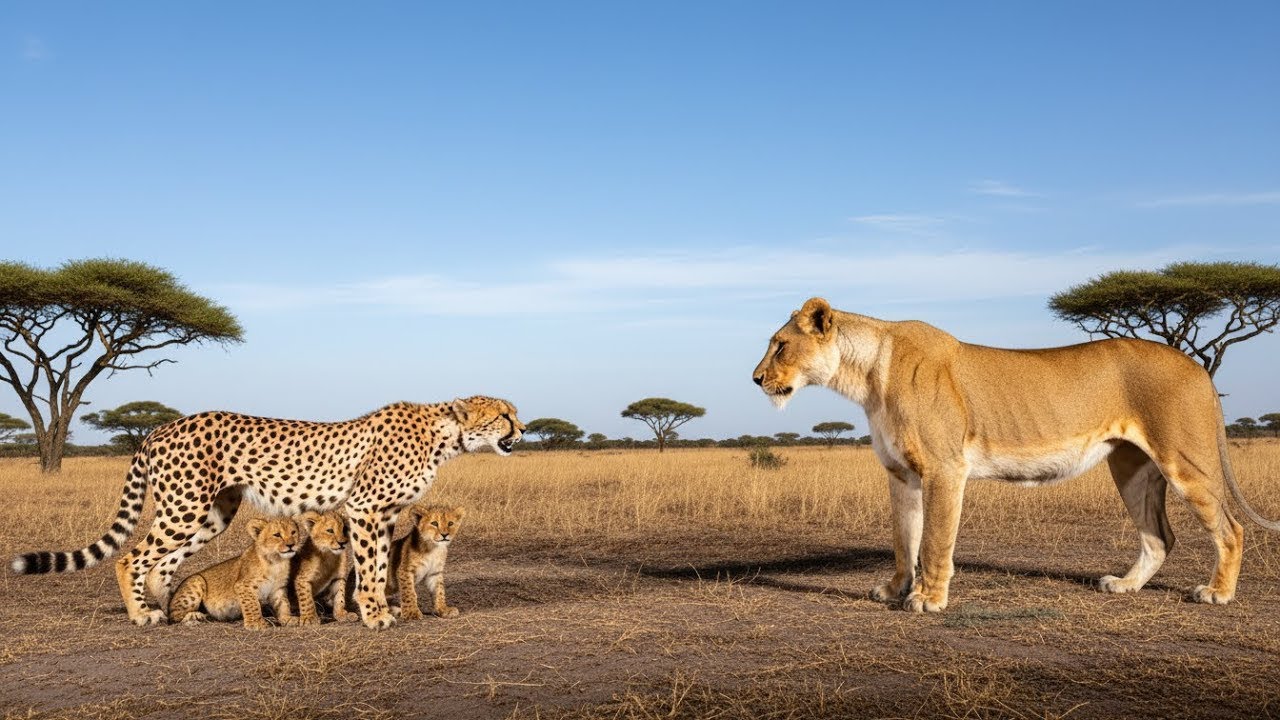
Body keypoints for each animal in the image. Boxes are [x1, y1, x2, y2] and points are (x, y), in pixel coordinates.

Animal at [753, 297, 1280, 612]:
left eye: (780, 346)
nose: (756, 379)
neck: (866, 377)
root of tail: (1197, 365)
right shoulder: (901, 474)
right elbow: (905, 539)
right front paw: (895, 589)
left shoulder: (945, 469)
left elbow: (935, 541)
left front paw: (928, 599)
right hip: (1130, 468)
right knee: (1158, 537)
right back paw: (1125, 586)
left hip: (1185, 461)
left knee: (1230, 529)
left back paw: (1217, 593)